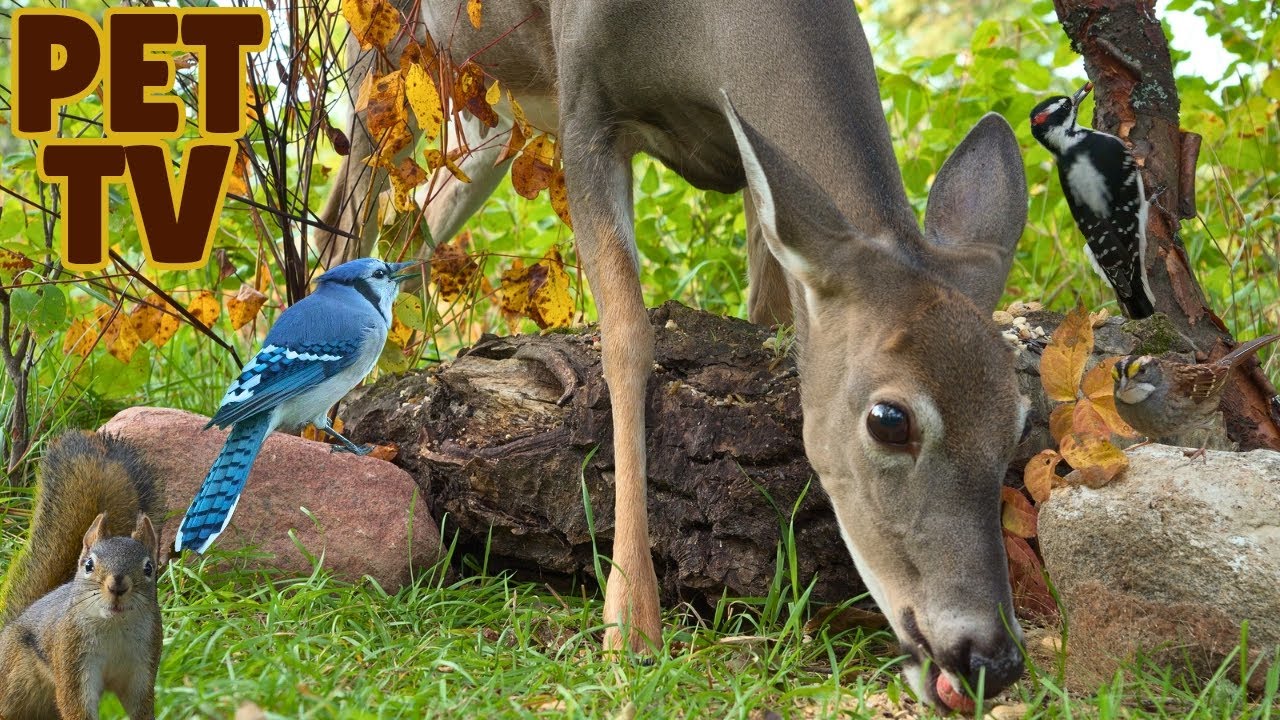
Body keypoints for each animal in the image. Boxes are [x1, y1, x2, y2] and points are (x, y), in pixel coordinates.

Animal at [0, 431, 165, 720]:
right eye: (88, 565)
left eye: (149, 568)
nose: (117, 586)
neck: (114, 627)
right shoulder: (72, 658)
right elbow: (76, 704)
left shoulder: (143, 665)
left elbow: (141, 706)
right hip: (14, 681)